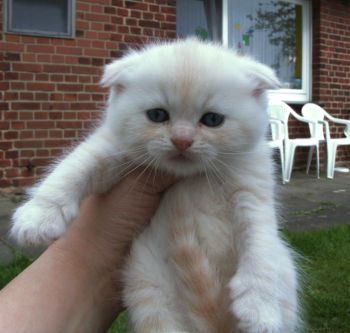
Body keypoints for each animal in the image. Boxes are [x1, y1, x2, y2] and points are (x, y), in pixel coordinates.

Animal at [12, 39, 300, 332]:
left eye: (212, 120)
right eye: (158, 115)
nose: (182, 141)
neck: (192, 176)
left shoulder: (253, 190)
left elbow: (260, 245)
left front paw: (261, 308)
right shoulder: (114, 149)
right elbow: (76, 166)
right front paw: (38, 216)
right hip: (149, 292)